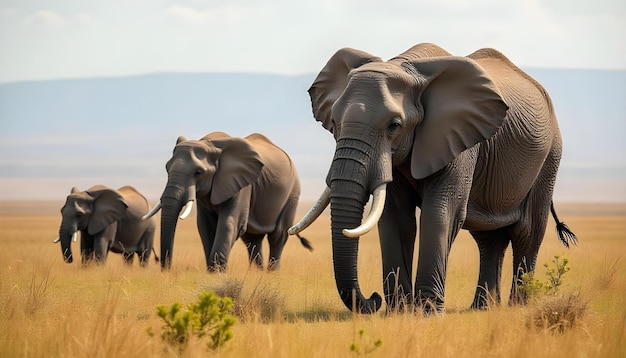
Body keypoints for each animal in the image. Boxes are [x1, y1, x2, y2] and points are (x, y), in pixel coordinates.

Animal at [145, 131, 312, 272]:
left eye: (198, 172)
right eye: (167, 168)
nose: (166, 269)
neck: (210, 144)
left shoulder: (242, 185)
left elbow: (230, 222)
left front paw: (217, 272)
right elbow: (205, 226)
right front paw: (212, 272)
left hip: (292, 194)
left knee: (278, 235)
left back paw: (272, 273)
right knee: (252, 239)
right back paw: (256, 273)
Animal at [288, 44, 576, 314]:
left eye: (394, 125)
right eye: (334, 122)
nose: (374, 299)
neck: (406, 66)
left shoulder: (459, 140)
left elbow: (440, 213)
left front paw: (426, 313)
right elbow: (395, 218)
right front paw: (399, 312)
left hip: (549, 157)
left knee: (527, 232)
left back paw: (519, 308)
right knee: (489, 239)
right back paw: (482, 309)